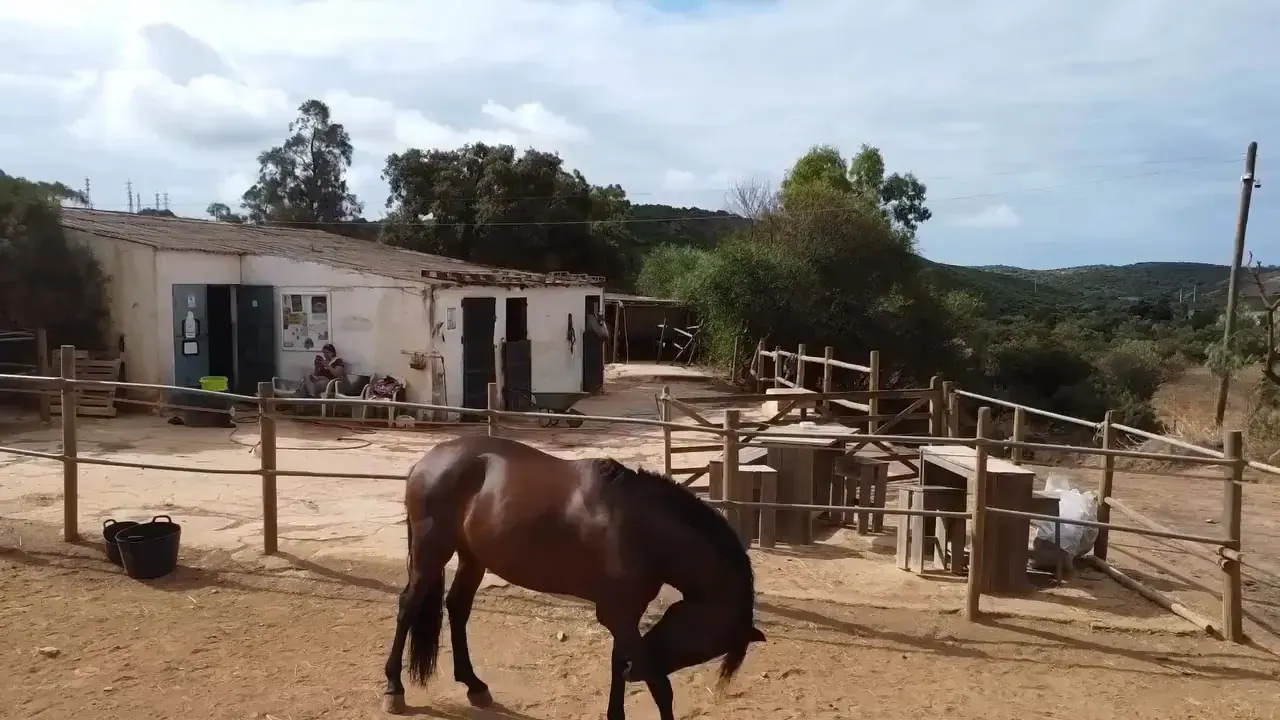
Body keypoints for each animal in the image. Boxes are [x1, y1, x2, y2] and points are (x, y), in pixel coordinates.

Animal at [381, 435, 766, 719]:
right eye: (706, 644)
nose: (635, 673)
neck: (639, 526)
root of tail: (426, 462)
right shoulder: (618, 616)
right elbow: (661, 688)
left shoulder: (625, 615)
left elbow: (617, 663)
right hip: (432, 553)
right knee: (408, 606)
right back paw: (394, 689)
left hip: (472, 557)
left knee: (457, 607)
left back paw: (475, 685)